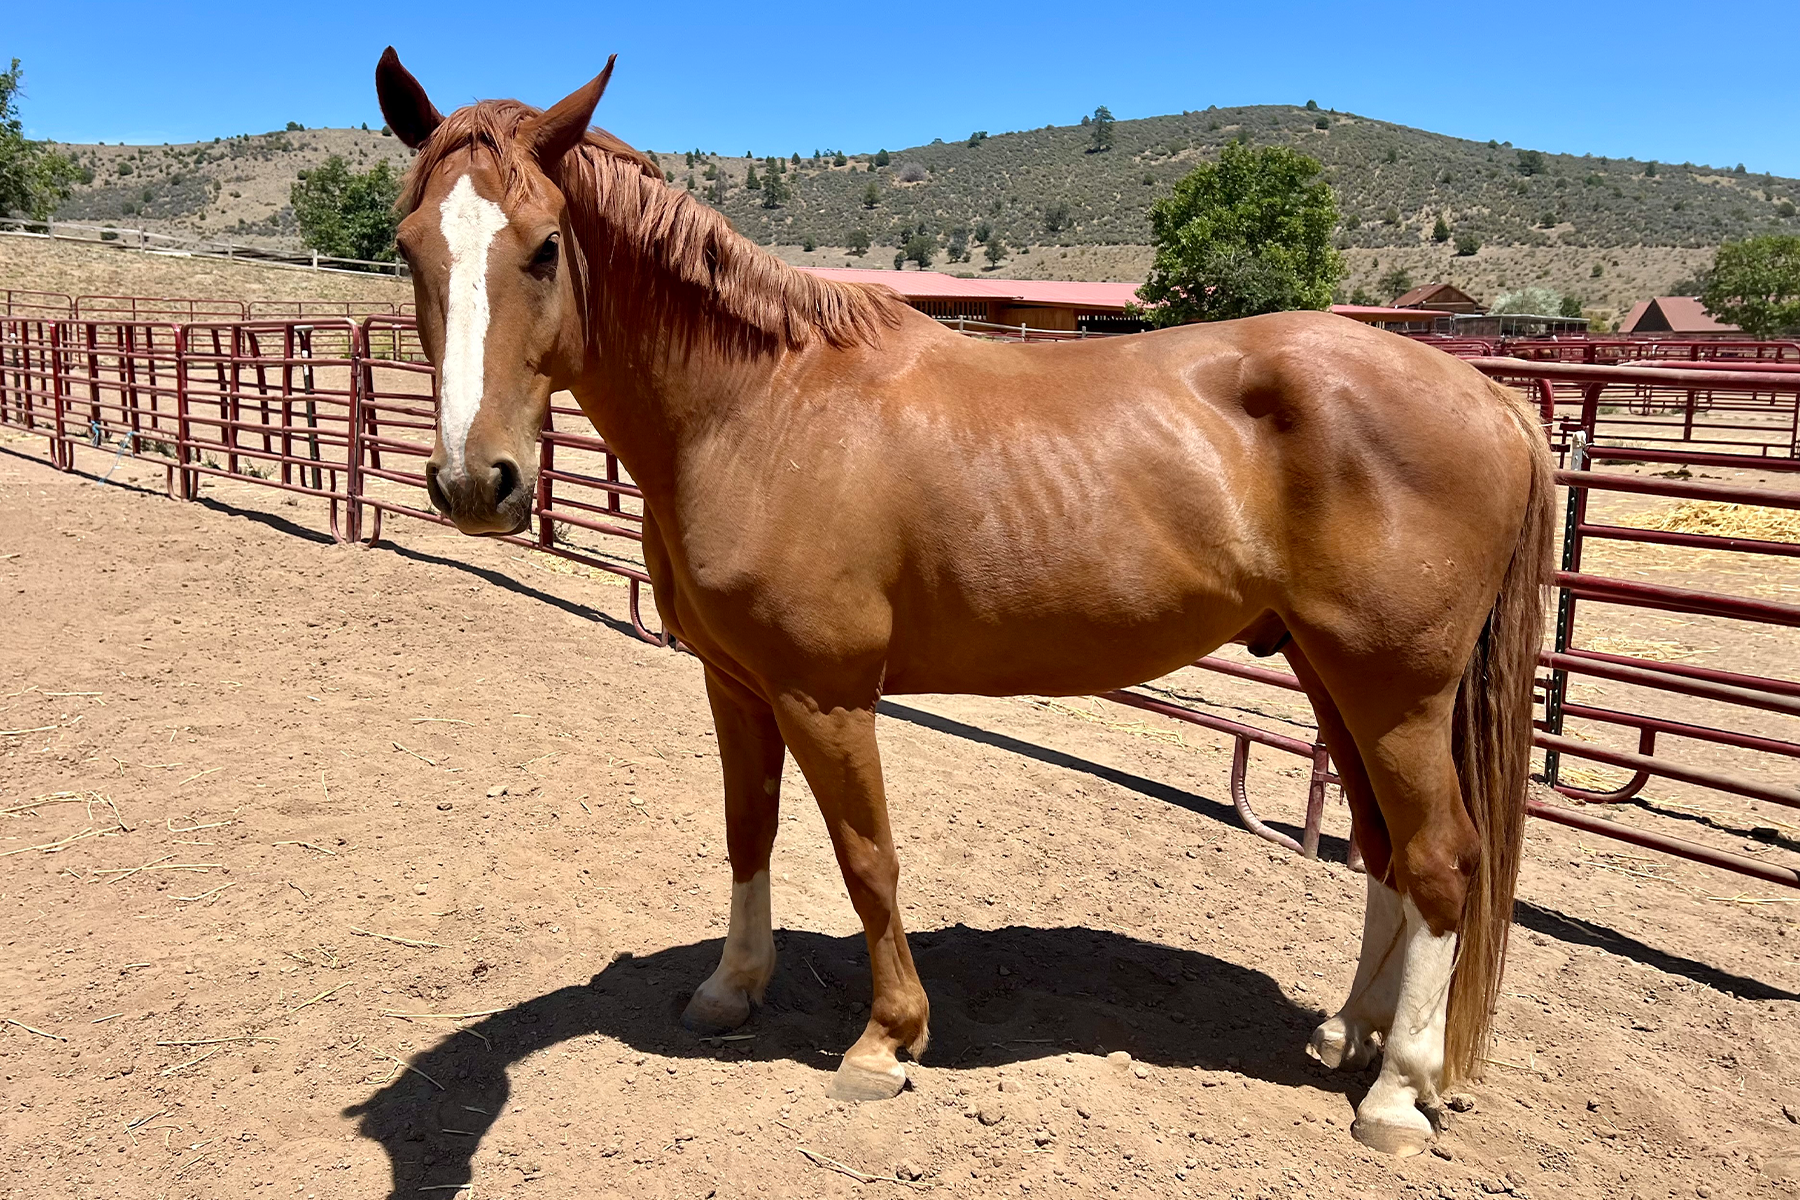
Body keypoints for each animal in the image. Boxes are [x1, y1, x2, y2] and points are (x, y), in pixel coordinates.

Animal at [374, 49, 1554, 1156]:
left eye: (544, 247)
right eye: (411, 246)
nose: (476, 484)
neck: (758, 411)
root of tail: (1490, 398)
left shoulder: (826, 696)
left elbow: (868, 858)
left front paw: (886, 1042)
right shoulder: (735, 683)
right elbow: (749, 830)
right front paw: (731, 988)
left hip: (1397, 692)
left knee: (1442, 858)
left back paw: (1396, 1092)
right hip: (1331, 676)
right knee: (1383, 849)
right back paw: (1348, 1034)